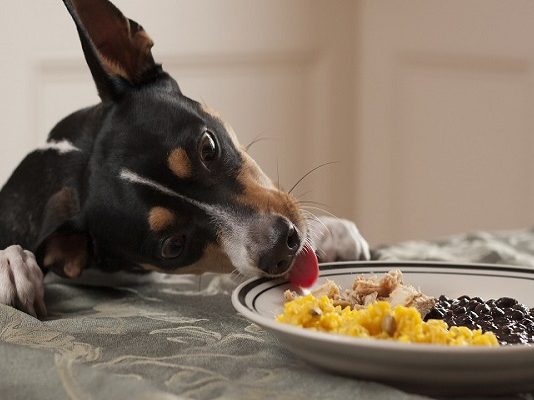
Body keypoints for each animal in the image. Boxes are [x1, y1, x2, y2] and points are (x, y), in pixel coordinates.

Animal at [0, 0, 370, 318]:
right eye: (173, 246)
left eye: (208, 147)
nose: (281, 246)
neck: (69, 160)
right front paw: (10, 266)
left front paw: (328, 233)